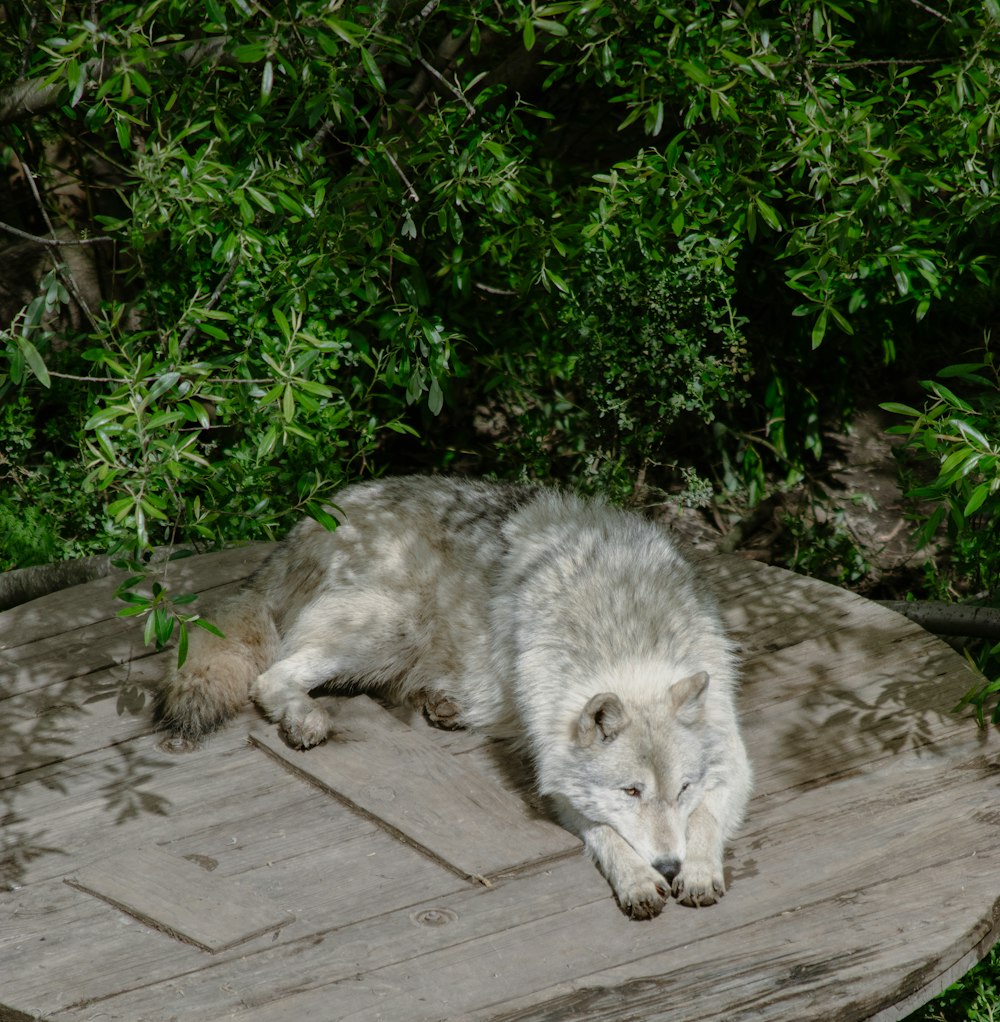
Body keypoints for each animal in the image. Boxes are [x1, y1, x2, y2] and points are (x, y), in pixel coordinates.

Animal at [155, 476, 748, 919]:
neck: (626, 635)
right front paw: (639, 881)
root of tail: (307, 521)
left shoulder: (733, 759)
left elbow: (705, 818)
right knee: (271, 676)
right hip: (389, 625)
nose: (668, 866)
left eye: (683, 787)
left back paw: (444, 706)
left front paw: (698, 869)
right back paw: (306, 719)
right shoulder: (557, 777)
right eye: (630, 792)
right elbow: (605, 831)